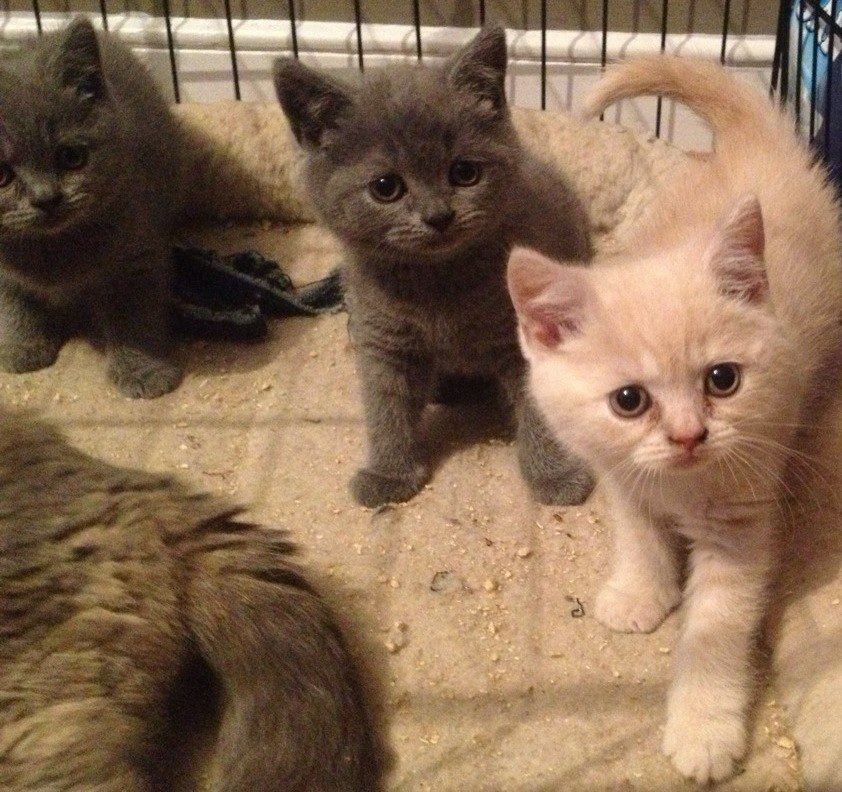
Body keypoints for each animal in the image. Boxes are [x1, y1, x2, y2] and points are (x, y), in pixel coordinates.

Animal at [0, 18, 183, 400]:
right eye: (0, 175)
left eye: (71, 157)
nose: (46, 198)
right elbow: (11, 302)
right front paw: (21, 347)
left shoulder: (138, 253)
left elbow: (134, 315)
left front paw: (143, 371)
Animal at [272, 26, 592, 508]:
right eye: (385, 186)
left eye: (464, 172)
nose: (438, 216)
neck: (438, 285)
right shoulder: (382, 339)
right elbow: (385, 406)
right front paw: (388, 473)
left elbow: (539, 406)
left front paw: (555, 476)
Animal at [506, 57, 840, 784]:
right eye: (629, 400)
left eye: (723, 380)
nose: (689, 435)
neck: (680, 486)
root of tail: (755, 143)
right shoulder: (622, 478)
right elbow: (638, 537)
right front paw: (638, 594)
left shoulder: (742, 522)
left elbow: (717, 629)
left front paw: (703, 729)